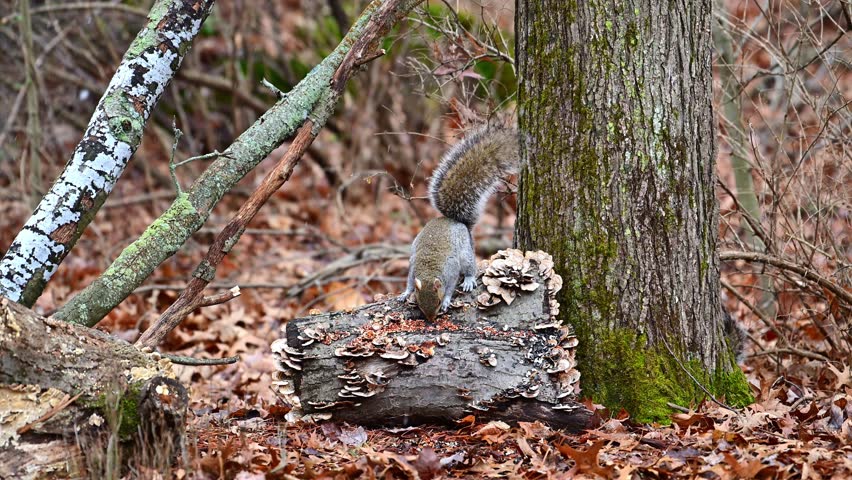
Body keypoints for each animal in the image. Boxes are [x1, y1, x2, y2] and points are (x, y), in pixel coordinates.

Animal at [398, 126, 519, 321]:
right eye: (421, 305)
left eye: (438, 302)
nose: (431, 321)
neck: (429, 271)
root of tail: (456, 220)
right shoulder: (412, 268)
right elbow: (410, 283)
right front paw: (406, 293)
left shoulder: (451, 270)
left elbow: (450, 286)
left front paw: (447, 299)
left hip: (465, 253)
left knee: (470, 266)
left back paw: (469, 279)